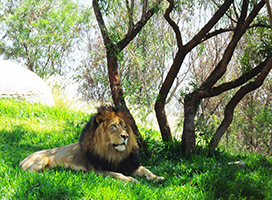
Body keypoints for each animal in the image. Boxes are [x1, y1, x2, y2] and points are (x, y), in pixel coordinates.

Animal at [19, 104, 164, 183]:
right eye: (114, 126)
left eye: (125, 127)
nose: (126, 136)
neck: (113, 152)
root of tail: (22, 160)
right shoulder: (97, 170)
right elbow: (118, 174)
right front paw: (132, 180)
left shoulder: (129, 165)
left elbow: (146, 170)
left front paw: (158, 178)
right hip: (41, 160)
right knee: (28, 172)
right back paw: (46, 174)